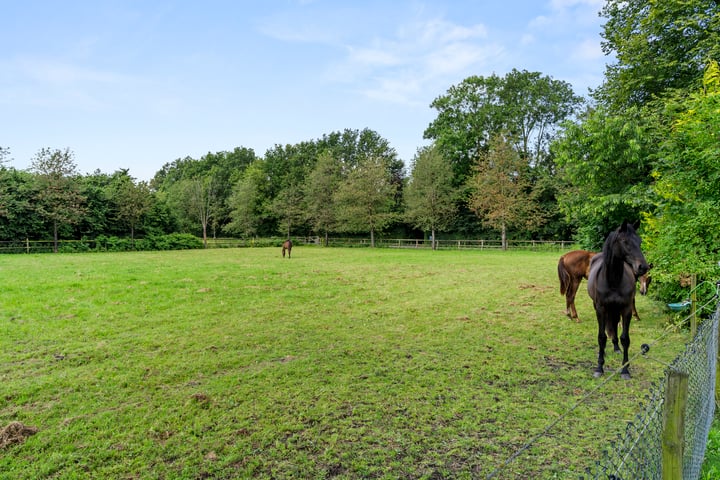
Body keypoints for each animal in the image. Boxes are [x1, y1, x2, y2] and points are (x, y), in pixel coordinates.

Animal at [588, 221, 648, 378]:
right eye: (625, 241)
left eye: (640, 241)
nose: (643, 267)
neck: (613, 280)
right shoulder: (601, 309)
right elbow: (601, 337)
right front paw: (599, 368)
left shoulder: (626, 309)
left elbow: (625, 339)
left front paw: (625, 369)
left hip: (615, 309)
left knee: (614, 325)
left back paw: (616, 348)